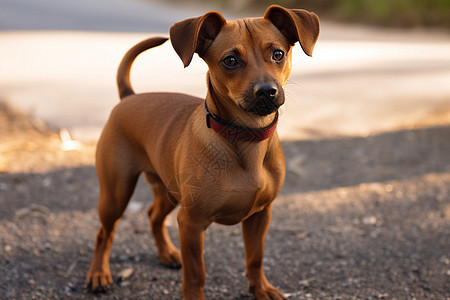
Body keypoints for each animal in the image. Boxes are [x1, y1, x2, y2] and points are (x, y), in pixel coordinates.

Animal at [87, 5, 320, 300]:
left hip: (169, 190)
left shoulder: (260, 215)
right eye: (230, 60)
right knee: (104, 234)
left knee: (153, 216)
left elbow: (255, 257)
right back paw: (98, 274)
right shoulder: (191, 224)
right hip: (116, 194)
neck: (246, 139)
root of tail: (129, 97)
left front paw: (260, 288)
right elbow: (196, 274)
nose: (267, 91)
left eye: (277, 54)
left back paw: (167, 254)